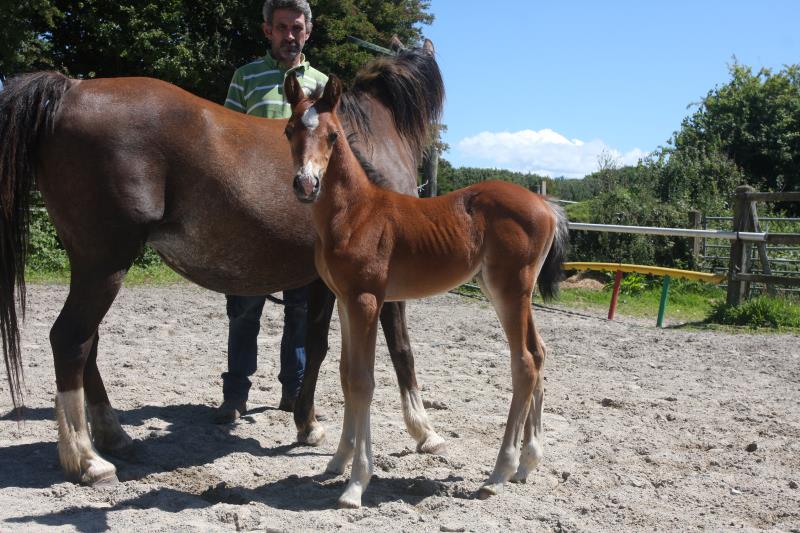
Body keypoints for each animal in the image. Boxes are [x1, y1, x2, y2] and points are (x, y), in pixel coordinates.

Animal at [282, 71, 568, 508]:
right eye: (289, 130)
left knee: (523, 362)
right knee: (539, 352)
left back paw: (498, 474)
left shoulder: (367, 300)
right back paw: (527, 463)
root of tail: (545, 204)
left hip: (510, 290)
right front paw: (338, 461)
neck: (356, 213)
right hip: (510, 292)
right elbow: (347, 375)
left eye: (332, 135)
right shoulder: (346, 300)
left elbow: (363, 382)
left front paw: (356, 484)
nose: (305, 183)